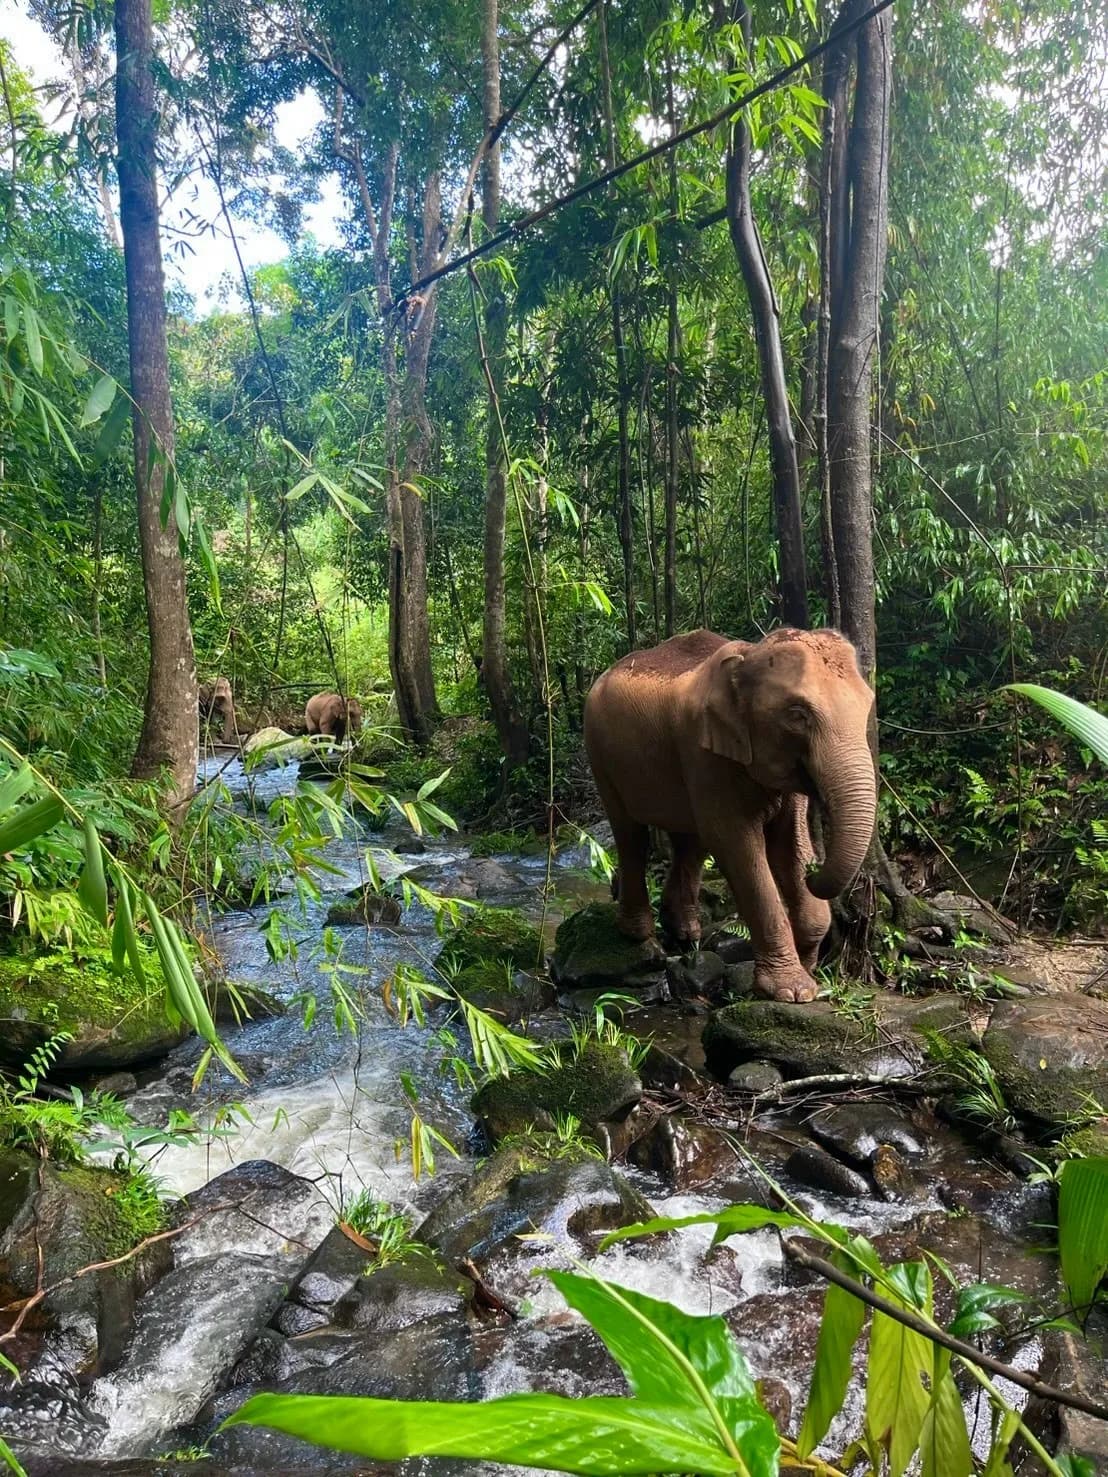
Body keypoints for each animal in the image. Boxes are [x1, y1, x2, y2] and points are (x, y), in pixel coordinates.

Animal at [583, 627, 877, 1004]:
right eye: (797, 714)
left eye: (868, 704)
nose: (815, 872)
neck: (751, 654)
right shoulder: (703, 750)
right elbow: (736, 844)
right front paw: (790, 991)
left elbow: (788, 844)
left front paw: (809, 973)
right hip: (600, 755)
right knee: (631, 833)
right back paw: (640, 936)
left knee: (689, 841)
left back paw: (686, 936)